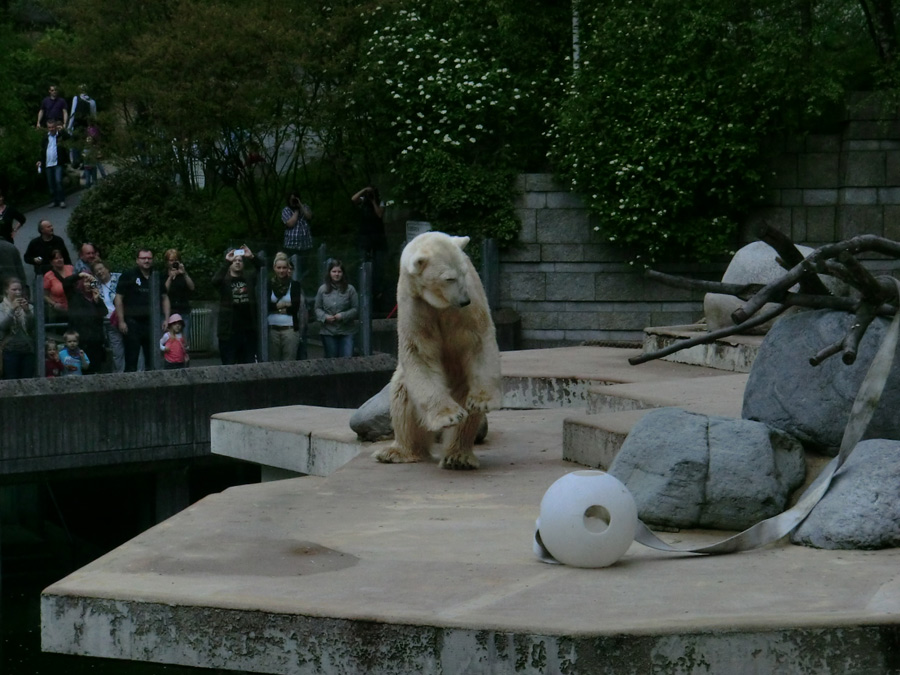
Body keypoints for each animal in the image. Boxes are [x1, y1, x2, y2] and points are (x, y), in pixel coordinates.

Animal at [370, 232, 500, 470]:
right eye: (449, 278)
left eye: (464, 272)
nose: (464, 300)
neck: (441, 303)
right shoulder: (415, 306)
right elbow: (420, 354)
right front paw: (448, 416)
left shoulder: (470, 306)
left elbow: (478, 342)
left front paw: (482, 401)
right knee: (402, 395)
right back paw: (397, 452)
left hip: (462, 378)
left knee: (466, 408)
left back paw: (458, 457)